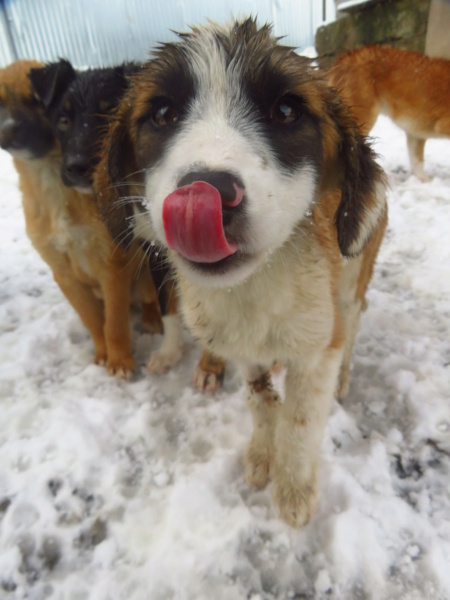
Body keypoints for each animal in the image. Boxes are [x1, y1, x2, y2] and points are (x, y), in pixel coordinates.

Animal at [94, 18, 386, 524]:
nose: (208, 191)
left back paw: (347, 375)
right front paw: (262, 454)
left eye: (286, 110)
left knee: (354, 318)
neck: (254, 288)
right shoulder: (238, 342)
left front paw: (294, 486)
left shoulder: (318, 345)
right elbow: (261, 398)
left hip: (353, 276)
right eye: (163, 113)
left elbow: (301, 418)